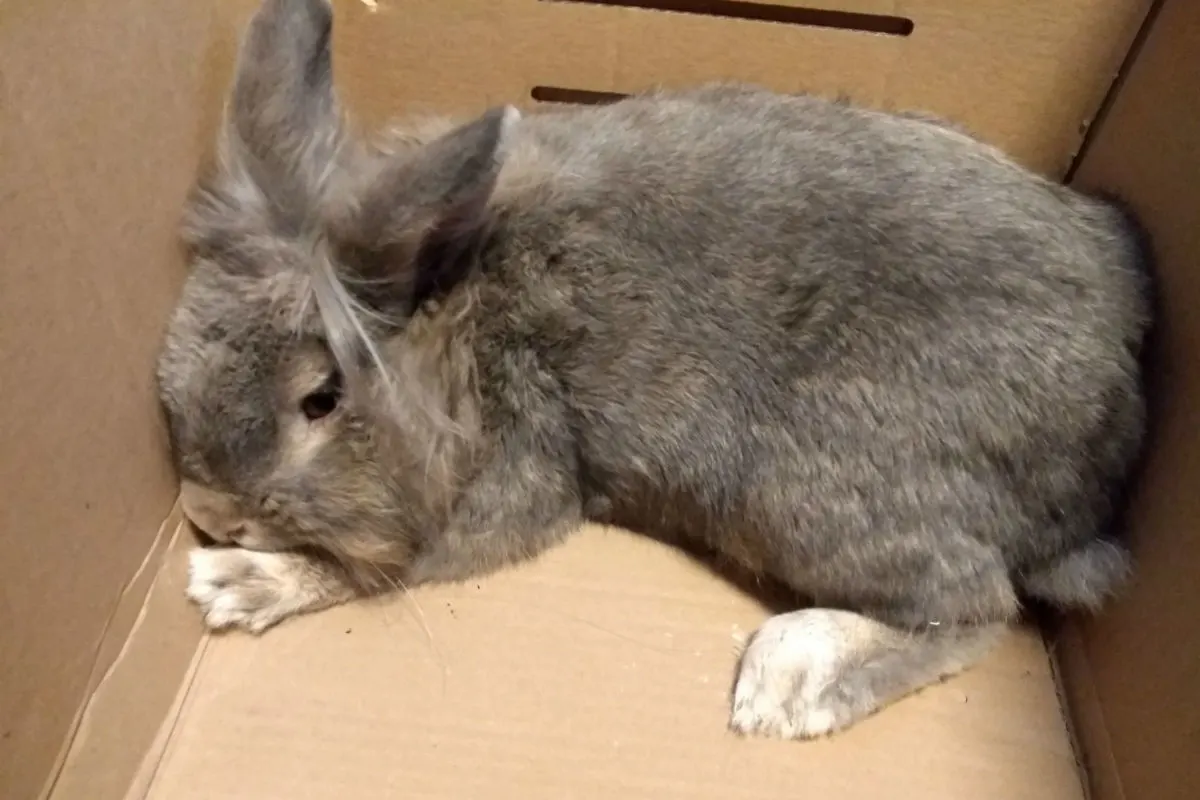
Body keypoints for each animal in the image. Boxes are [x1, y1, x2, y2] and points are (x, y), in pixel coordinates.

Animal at [156, 0, 1155, 740]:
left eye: (320, 400)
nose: (207, 511)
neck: (464, 314)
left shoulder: (517, 483)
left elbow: (381, 569)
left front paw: (239, 583)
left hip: (811, 495)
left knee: (976, 607)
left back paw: (787, 683)